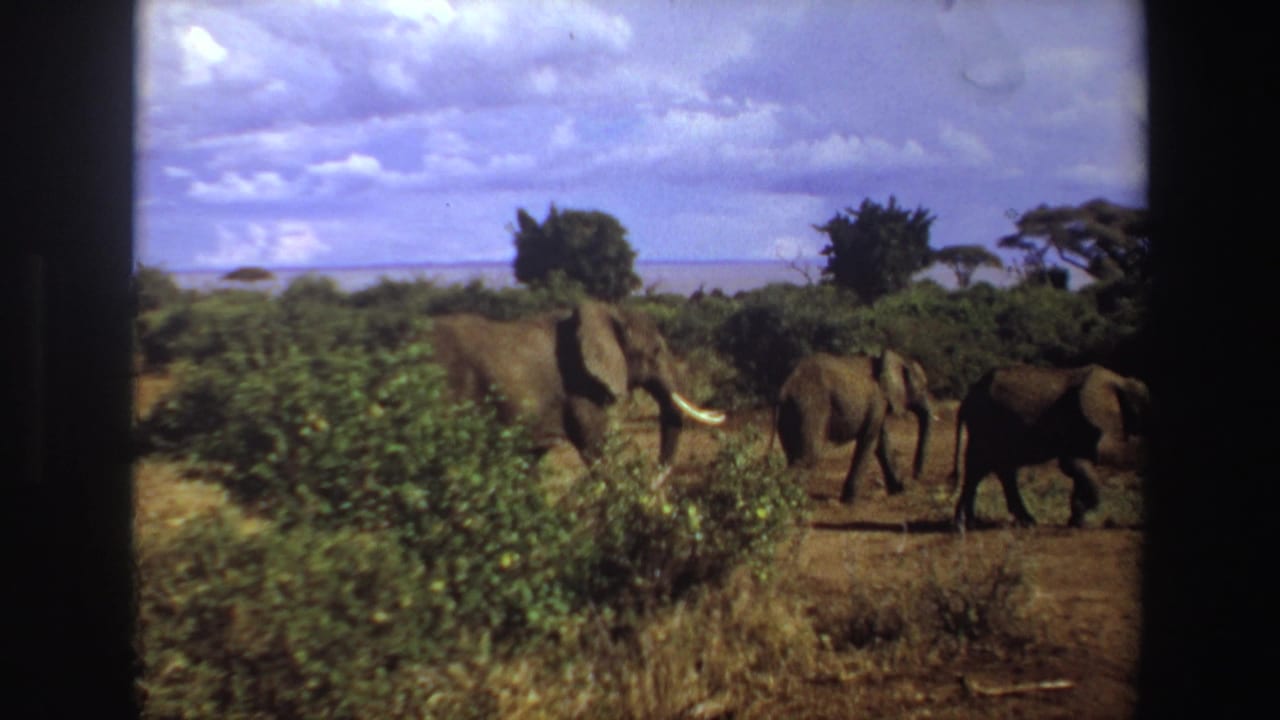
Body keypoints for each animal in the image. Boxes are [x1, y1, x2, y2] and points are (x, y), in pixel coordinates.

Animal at [774, 350, 936, 504]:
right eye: (923, 388)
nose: (916, 476)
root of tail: (787, 383)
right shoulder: (878, 401)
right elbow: (869, 441)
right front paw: (851, 501)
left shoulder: (878, 406)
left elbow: (881, 443)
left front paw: (899, 490)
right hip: (811, 403)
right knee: (808, 455)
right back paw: (792, 501)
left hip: (792, 410)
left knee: (795, 454)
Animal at [951, 363, 1150, 530]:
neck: (1122, 381)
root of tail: (966, 399)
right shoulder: (1081, 422)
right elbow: (1073, 464)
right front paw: (1085, 523)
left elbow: (1076, 468)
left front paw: (1076, 521)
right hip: (984, 424)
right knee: (980, 467)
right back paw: (967, 525)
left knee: (997, 469)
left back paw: (1021, 522)